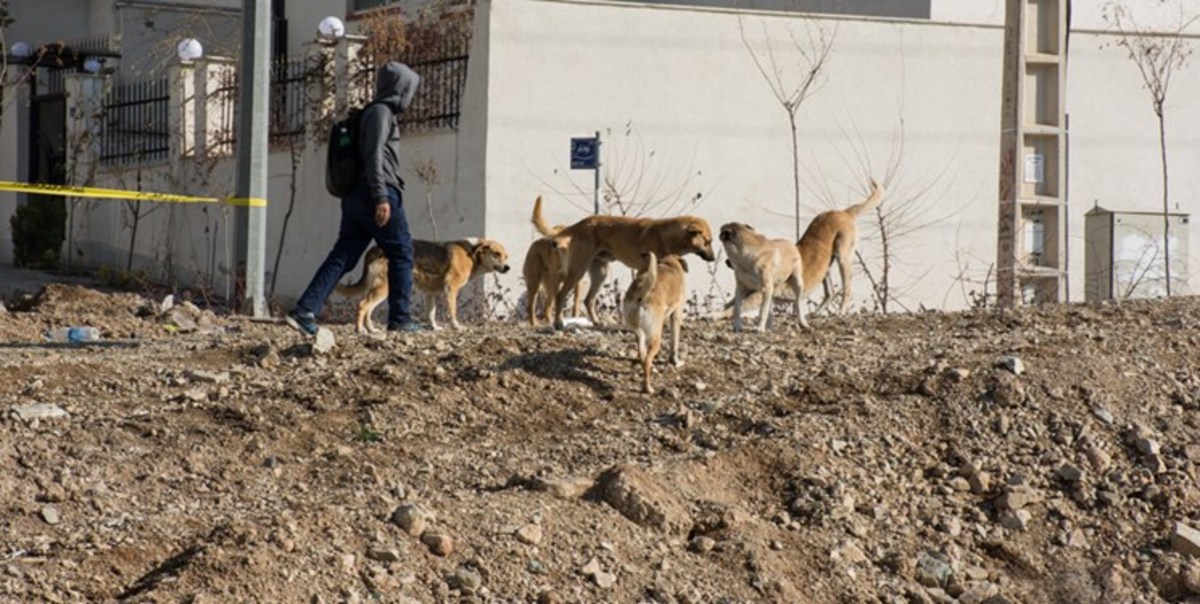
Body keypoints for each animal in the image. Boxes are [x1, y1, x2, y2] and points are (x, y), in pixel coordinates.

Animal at [333, 237, 511, 333]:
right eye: (496, 254)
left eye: (506, 256)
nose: (508, 268)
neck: (473, 254)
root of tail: (374, 249)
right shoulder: (451, 288)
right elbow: (452, 311)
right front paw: (457, 327)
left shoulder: (431, 293)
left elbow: (431, 313)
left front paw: (435, 328)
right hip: (384, 289)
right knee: (362, 305)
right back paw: (359, 330)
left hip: (380, 289)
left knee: (368, 309)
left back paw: (371, 330)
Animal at [532, 198, 710, 331]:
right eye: (708, 242)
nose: (713, 258)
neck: (666, 236)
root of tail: (581, 223)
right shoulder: (645, 271)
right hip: (578, 271)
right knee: (560, 295)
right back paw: (558, 323)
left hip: (600, 272)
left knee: (589, 299)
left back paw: (596, 322)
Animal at [624, 252, 691, 396]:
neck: (670, 263)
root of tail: (641, 293)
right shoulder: (676, 315)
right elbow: (674, 344)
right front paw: (675, 361)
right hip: (655, 336)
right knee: (647, 361)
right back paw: (647, 388)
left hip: (639, 331)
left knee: (642, 353)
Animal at [710, 180, 883, 319]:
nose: (726, 262)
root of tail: (844, 212)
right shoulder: (748, 289)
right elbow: (731, 303)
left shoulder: (759, 294)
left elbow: (734, 308)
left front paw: (715, 314)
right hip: (826, 267)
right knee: (830, 293)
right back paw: (816, 313)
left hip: (842, 257)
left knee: (847, 290)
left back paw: (840, 312)